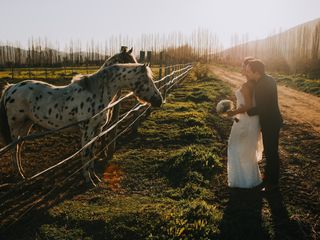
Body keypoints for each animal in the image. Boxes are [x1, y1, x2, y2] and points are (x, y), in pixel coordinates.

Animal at [0, 62, 162, 185]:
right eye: (147, 80)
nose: (159, 100)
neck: (96, 93)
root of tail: (12, 87)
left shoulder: (97, 130)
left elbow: (92, 153)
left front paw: (94, 177)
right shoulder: (87, 131)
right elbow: (85, 153)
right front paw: (88, 180)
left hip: (26, 125)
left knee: (18, 148)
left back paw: (23, 174)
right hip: (15, 126)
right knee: (13, 149)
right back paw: (19, 176)